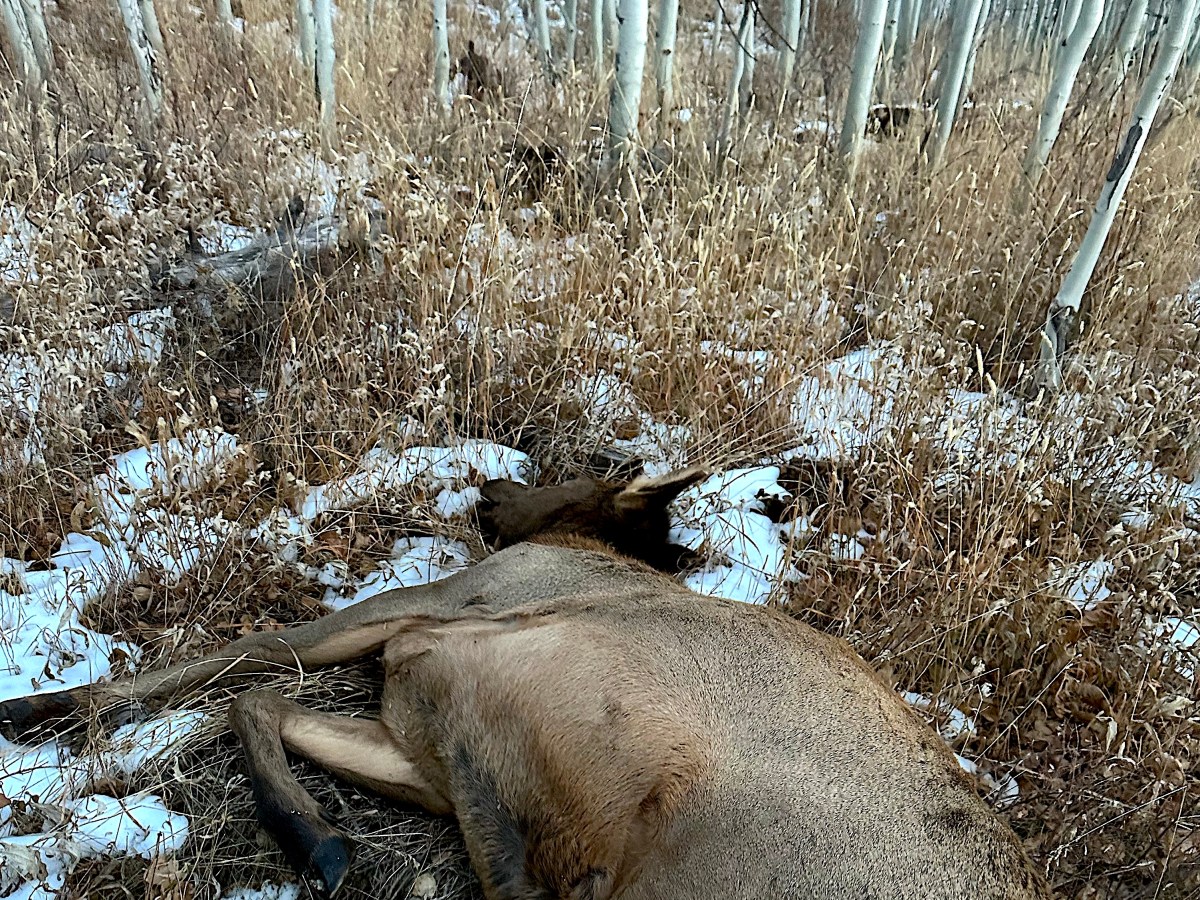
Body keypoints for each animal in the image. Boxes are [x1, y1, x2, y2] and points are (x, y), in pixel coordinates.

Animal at [0, 466, 1055, 900]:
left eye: (581, 477)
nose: (492, 485)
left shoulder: (445, 602)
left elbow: (238, 660)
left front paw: (34, 706)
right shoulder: (427, 738)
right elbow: (257, 698)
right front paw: (324, 841)